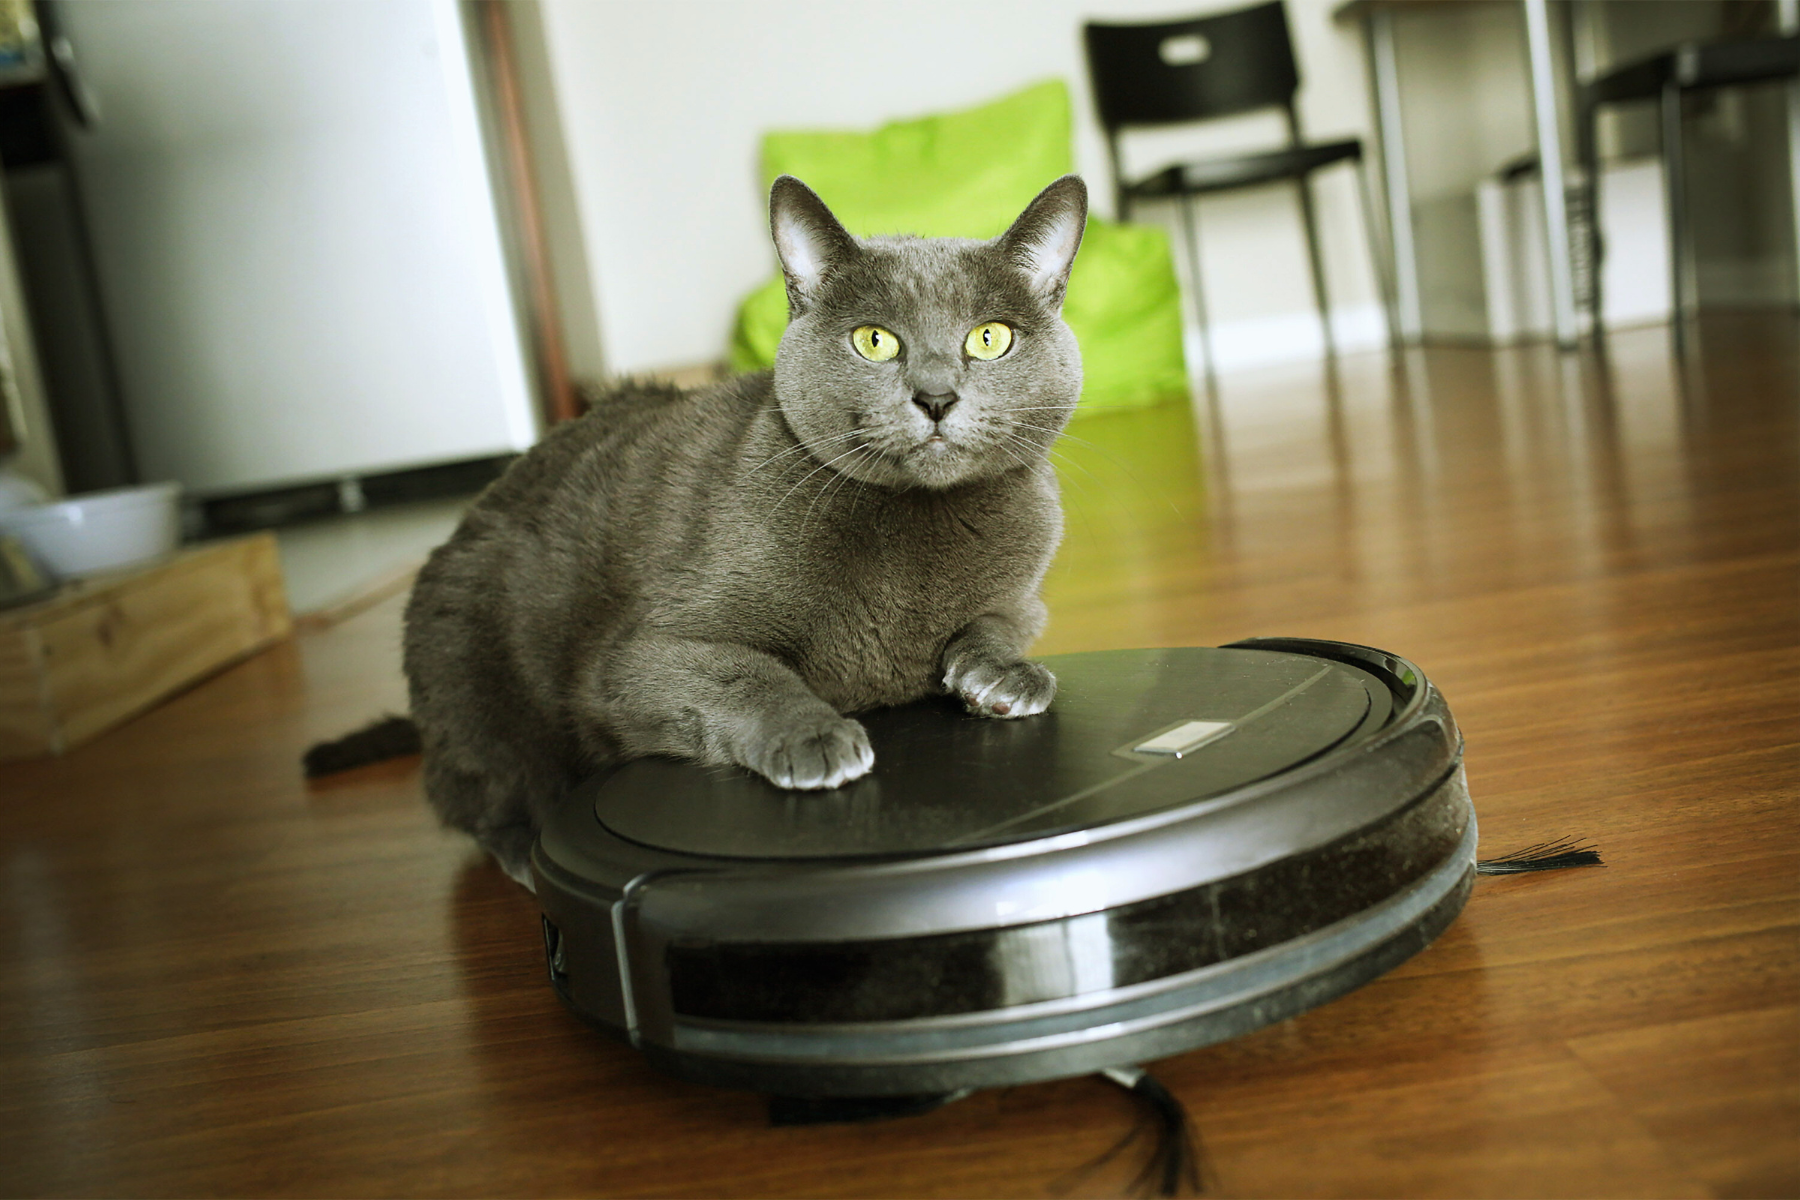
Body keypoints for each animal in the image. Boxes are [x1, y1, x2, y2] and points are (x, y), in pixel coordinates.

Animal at [399, 173, 1080, 888]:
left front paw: (1004, 676)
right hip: (468, 676)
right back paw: (525, 858)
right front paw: (814, 736)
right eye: (874, 341)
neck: (920, 522)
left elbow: (996, 624)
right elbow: (748, 673)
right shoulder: (641, 655)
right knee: (476, 796)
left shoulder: (1024, 598)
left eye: (989, 338)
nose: (937, 396)